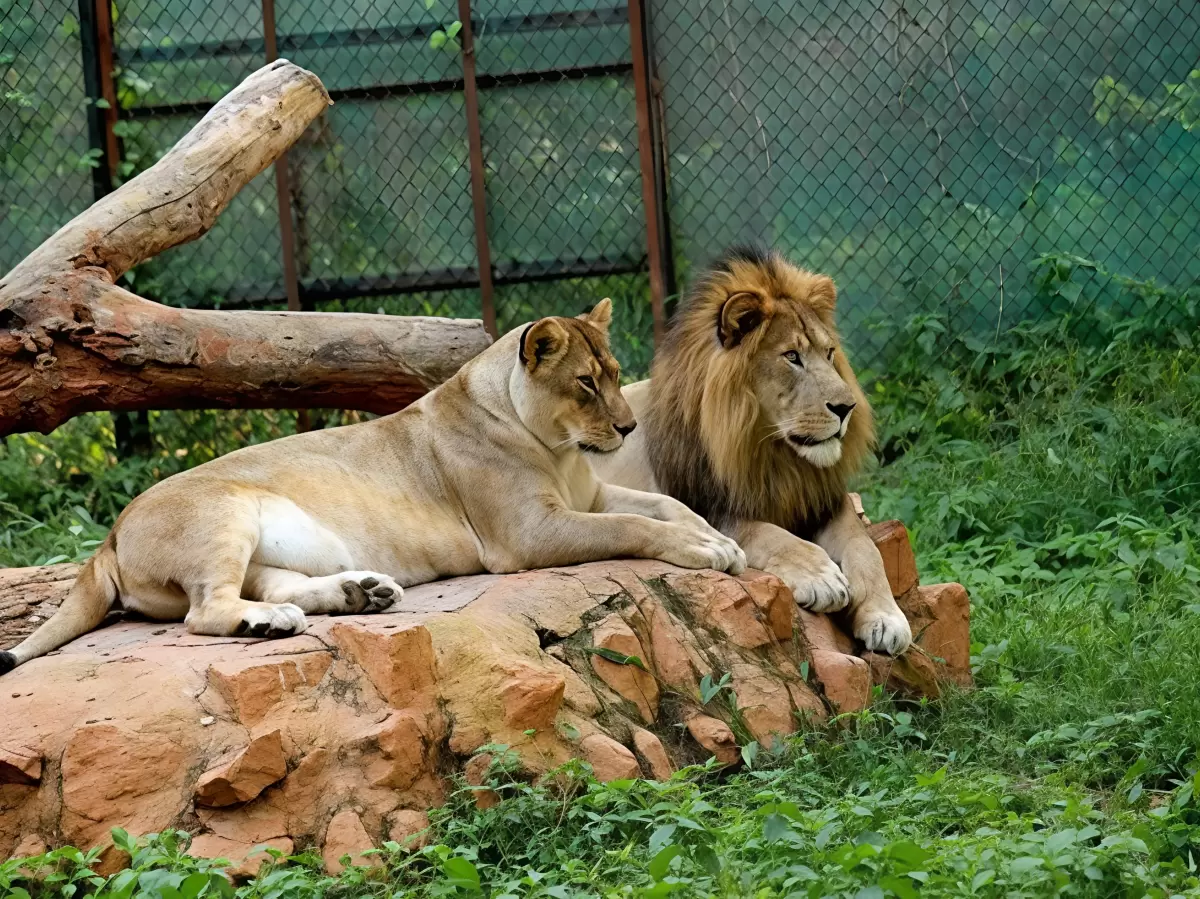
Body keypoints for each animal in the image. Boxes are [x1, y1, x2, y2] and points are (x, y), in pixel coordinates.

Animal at [0, 300, 745, 675]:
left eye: (617, 374)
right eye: (586, 383)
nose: (627, 427)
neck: (558, 450)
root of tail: (109, 535)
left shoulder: (588, 497)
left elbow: (665, 503)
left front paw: (717, 537)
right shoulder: (529, 532)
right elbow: (635, 526)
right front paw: (706, 551)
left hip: (263, 544)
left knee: (265, 587)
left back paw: (355, 594)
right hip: (224, 513)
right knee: (203, 612)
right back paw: (286, 618)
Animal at [591, 246, 912, 654]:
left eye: (829, 353)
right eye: (792, 356)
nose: (846, 407)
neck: (772, 454)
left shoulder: (822, 501)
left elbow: (865, 548)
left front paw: (886, 618)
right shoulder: (710, 507)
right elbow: (768, 533)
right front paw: (822, 577)